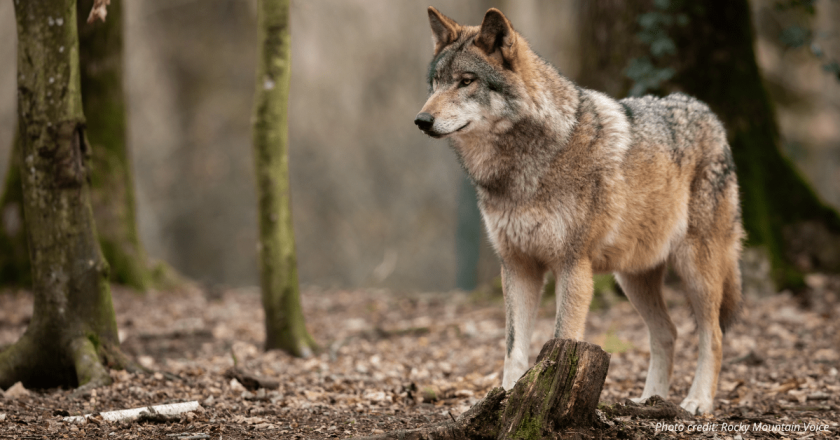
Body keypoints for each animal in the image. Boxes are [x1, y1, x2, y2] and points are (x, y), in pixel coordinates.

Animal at [414, 7, 743, 415]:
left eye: (465, 81)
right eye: (435, 83)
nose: (421, 121)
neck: (521, 169)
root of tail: (709, 113)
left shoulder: (573, 266)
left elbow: (560, 340)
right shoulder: (518, 266)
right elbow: (513, 349)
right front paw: (507, 399)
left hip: (696, 270)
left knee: (713, 335)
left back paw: (697, 401)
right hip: (632, 278)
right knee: (668, 332)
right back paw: (649, 400)